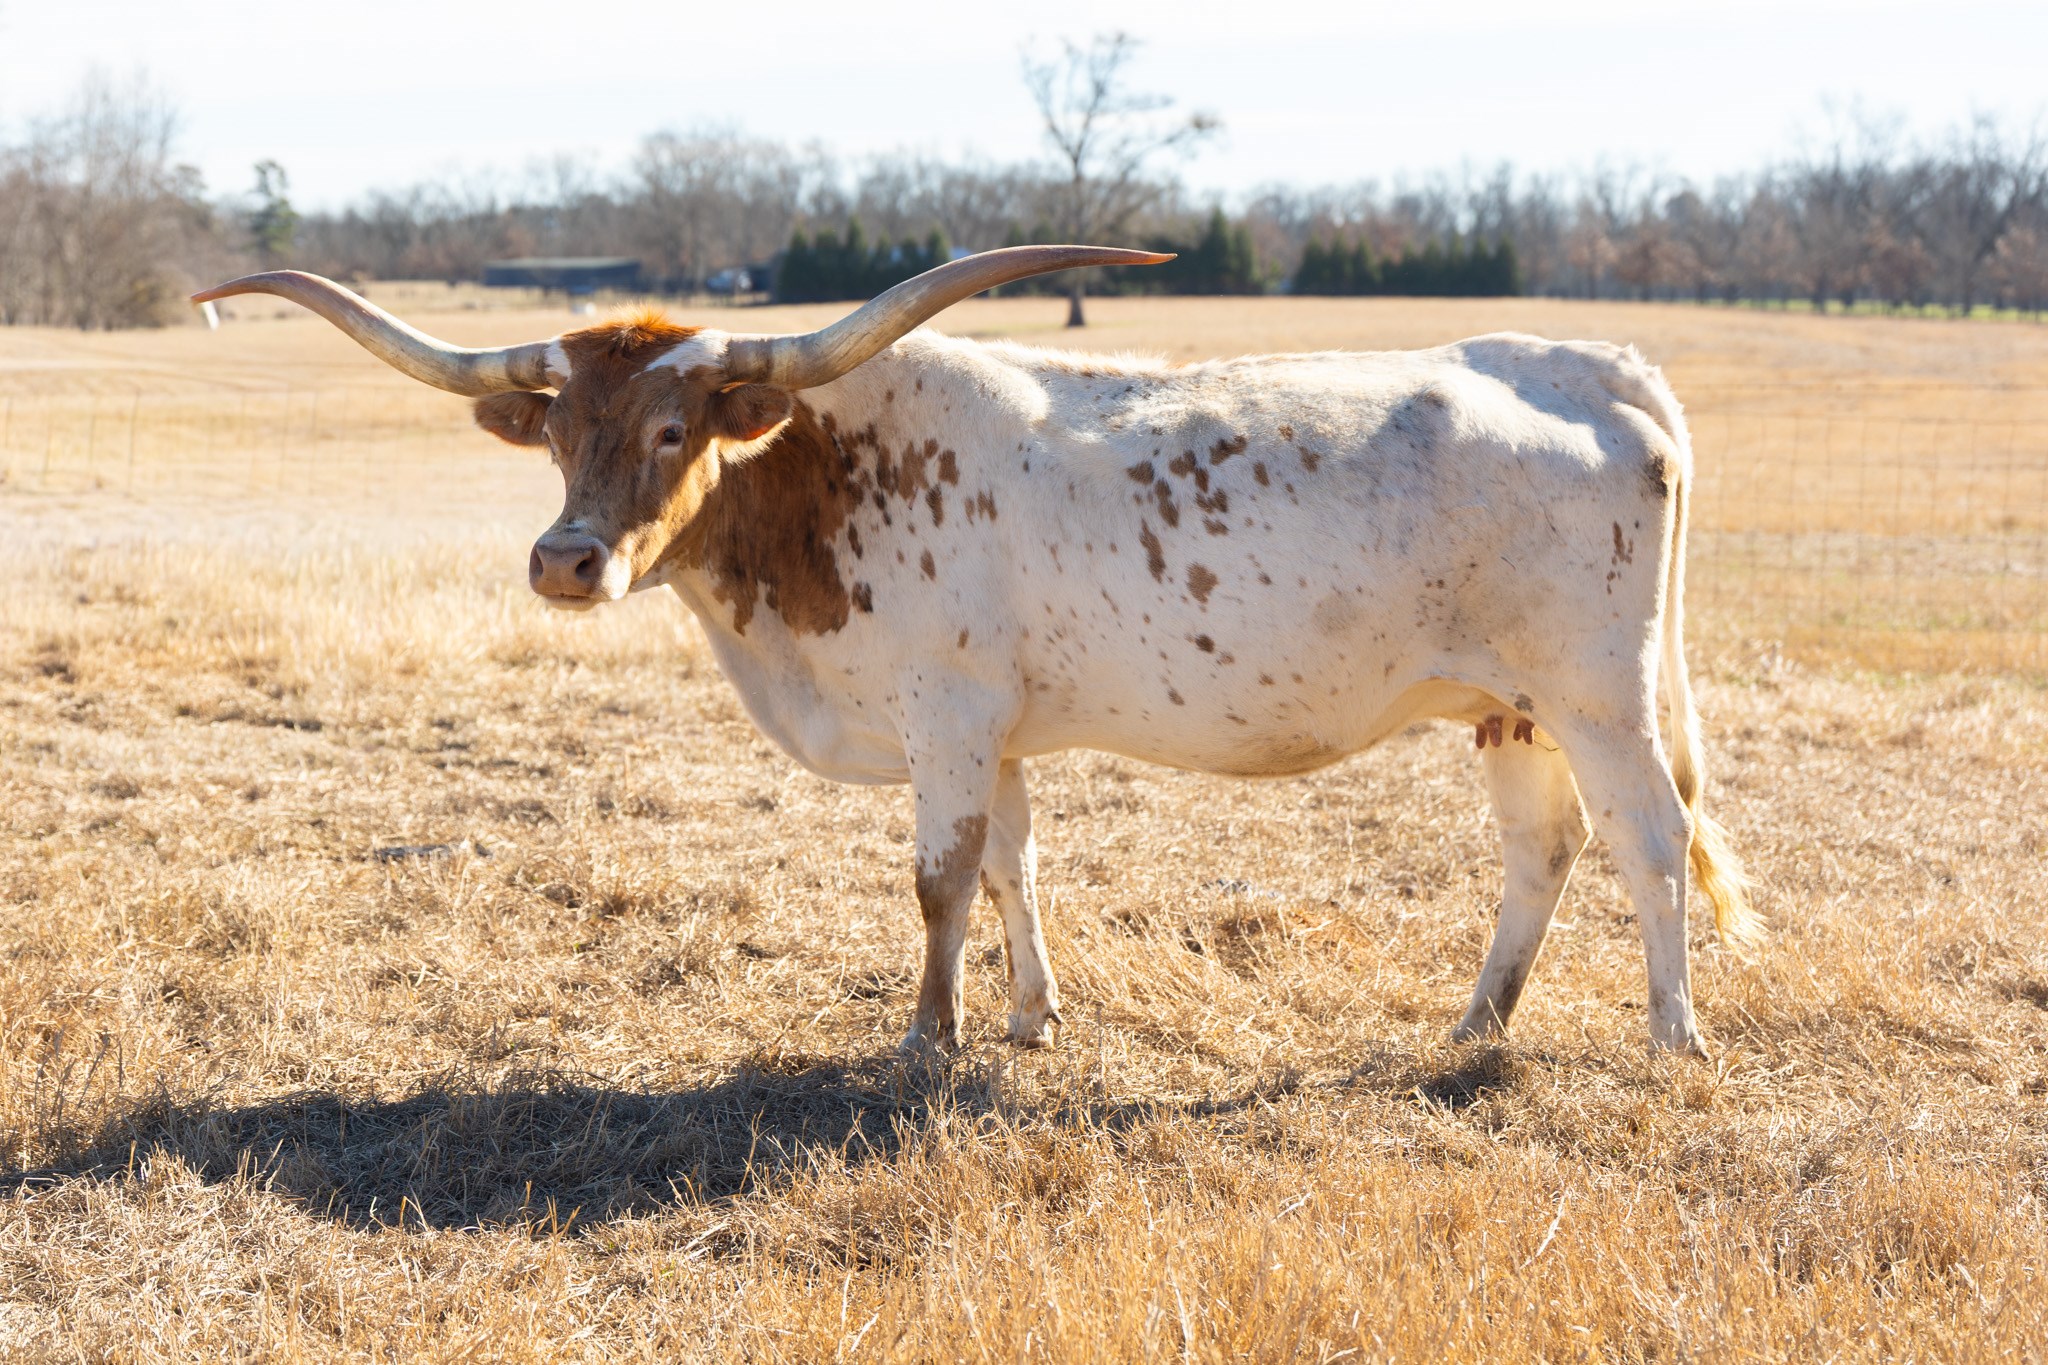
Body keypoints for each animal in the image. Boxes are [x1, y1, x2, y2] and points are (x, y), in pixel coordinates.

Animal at [194, 246, 1755, 1057]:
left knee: (1651, 842)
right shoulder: (994, 728)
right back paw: (1476, 1023)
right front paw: (1028, 1020)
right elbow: (1012, 866)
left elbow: (937, 878)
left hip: (1602, 696)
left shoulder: (942, 716)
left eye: (673, 428)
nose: (566, 560)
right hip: (1512, 706)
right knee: (1542, 849)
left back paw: (1671, 1037)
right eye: (560, 432)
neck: (824, 473)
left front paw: (925, 1040)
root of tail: (1589, 363)